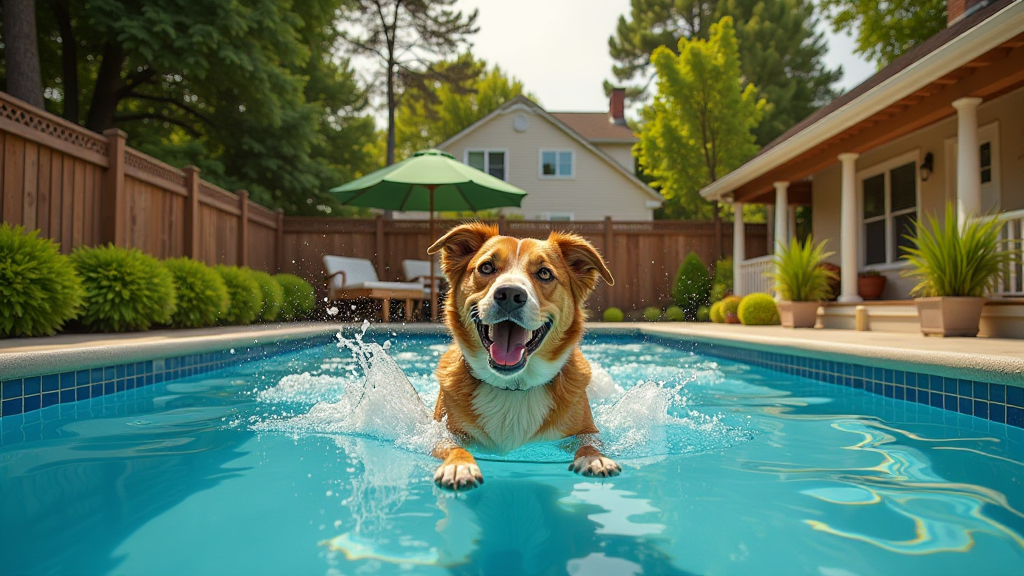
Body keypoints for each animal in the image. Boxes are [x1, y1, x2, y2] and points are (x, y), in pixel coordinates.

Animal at [421, 222, 614, 491]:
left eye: (544, 273)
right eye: (486, 267)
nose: (510, 294)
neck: (512, 388)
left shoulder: (586, 430)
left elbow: (589, 442)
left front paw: (594, 458)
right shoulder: (441, 432)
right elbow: (451, 446)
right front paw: (458, 464)